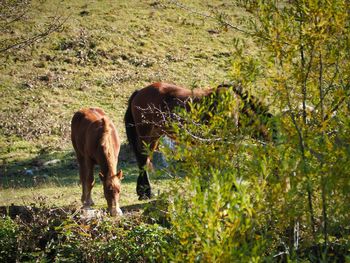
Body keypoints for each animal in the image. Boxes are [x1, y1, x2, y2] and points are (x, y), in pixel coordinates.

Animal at [124, 82, 274, 200]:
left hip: (155, 136)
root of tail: (139, 92)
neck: (237, 104)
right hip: (146, 135)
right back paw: (145, 192)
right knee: (143, 159)